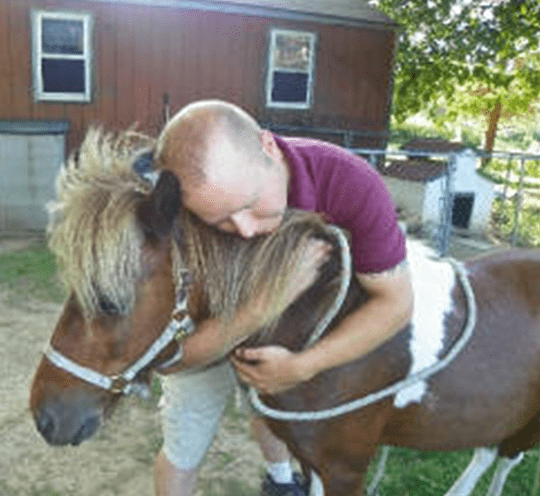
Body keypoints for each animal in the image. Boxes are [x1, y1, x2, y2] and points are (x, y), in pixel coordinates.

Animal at [28, 130, 540, 496]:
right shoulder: (310, 461)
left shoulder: (344, 471)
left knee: (503, 460)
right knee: (487, 452)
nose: (45, 417)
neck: (324, 331)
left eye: (109, 301)